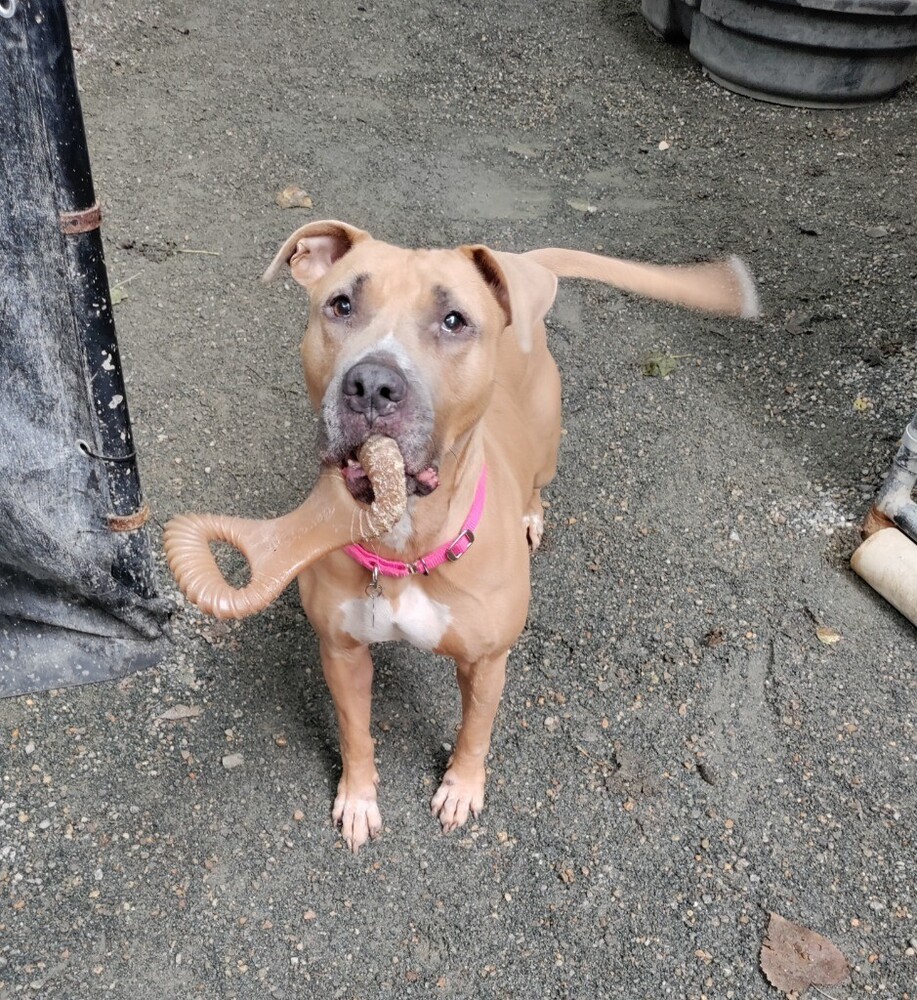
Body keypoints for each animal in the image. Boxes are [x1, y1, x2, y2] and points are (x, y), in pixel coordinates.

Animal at [262, 221, 756, 852]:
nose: (371, 383)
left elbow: (475, 728)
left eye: (454, 320)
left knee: (538, 483)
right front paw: (358, 798)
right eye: (341, 305)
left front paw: (461, 788)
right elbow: (356, 732)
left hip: (546, 443)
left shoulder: (487, 662)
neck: (409, 545)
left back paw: (531, 517)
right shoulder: (342, 651)